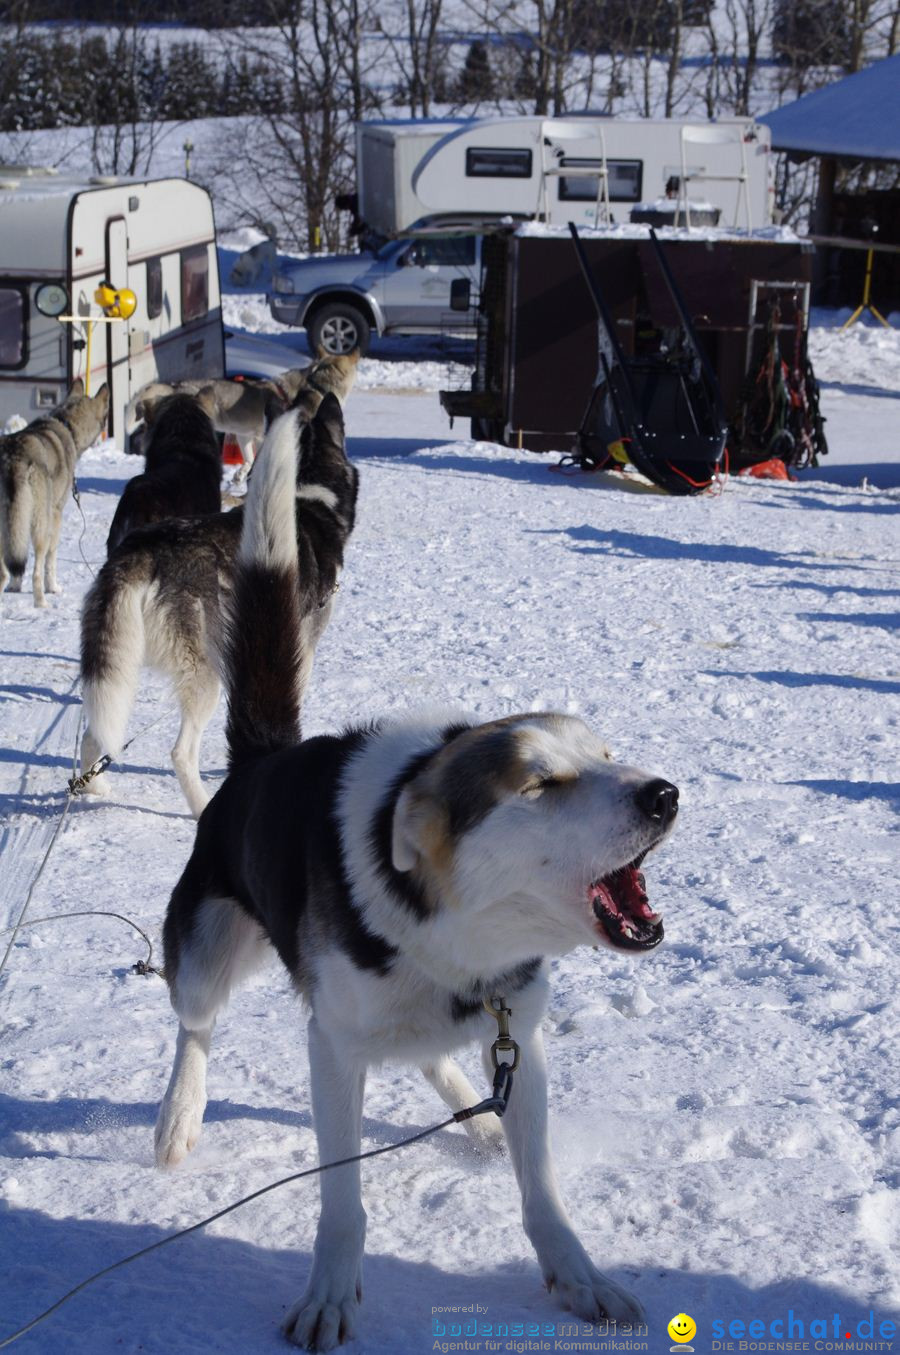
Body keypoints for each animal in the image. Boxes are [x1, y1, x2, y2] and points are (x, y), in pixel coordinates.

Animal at [154, 395, 677, 1344]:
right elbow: (342, 1202)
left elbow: (542, 1191)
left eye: (606, 756)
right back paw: (179, 1115)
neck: (455, 936)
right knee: (195, 1028)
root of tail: (264, 759)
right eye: (539, 783)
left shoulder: (522, 1039)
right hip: (207, 949)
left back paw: (469, 1103)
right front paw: (328, 1292)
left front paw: (577, 1274)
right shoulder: (330, 1050)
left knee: (433, 1054)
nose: (664, 793)